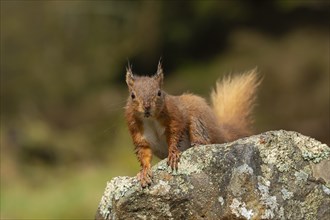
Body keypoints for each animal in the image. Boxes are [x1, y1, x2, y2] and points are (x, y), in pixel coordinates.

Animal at [124, 62, 260, 187]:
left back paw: (198, 144)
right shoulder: (137, 132)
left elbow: (175, 134)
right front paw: (144, 172)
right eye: (132, 95)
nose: (147, 107)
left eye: (159, 93)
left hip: (198, 120)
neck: (150, 119)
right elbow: (143, 153)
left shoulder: (175, 116)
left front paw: (173, 153)